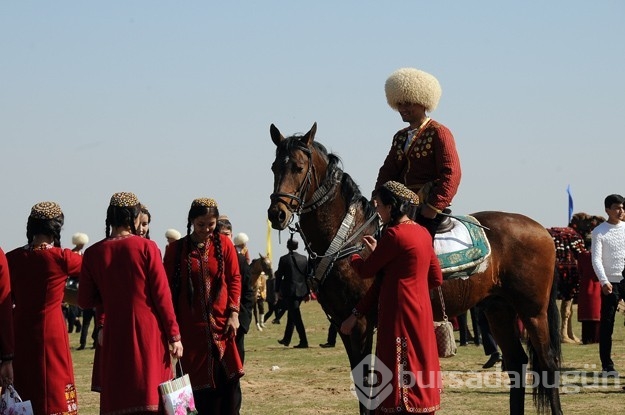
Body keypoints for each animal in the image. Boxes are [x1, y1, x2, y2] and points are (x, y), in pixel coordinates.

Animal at [266, 123, 564, 415]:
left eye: (298, 167)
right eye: (274, 167)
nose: (276, 214)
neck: (349, 238)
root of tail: (543, 231)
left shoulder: (361, 323)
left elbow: (367, 384)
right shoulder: (343, 323)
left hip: (532, 311)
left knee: (547, 364)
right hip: (498, 309)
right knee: (517, 362)